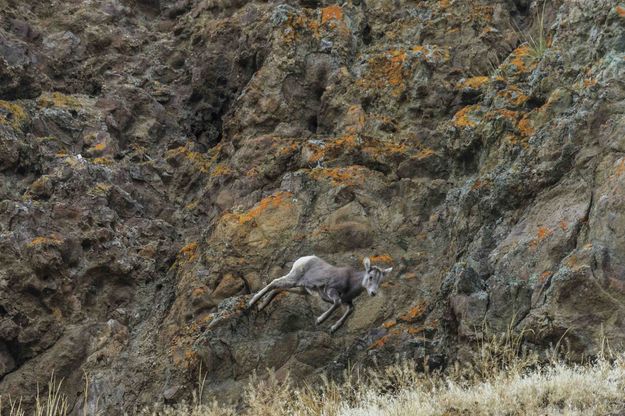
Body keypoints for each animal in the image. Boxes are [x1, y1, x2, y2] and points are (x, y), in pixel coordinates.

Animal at [247, 255, 390, 334]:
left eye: (380, 281)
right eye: (370, 277)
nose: (373, 293)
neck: (351, 282)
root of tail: (303, 259)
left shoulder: (348, 302)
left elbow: (350, 310)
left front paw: (334, 328)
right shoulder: (331, 291)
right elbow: (336, 304)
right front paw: (320, 321)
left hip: (301, 288)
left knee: (278, 288)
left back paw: (261, 306)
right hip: (294, 279)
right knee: (274, 283)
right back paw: (251, 303)